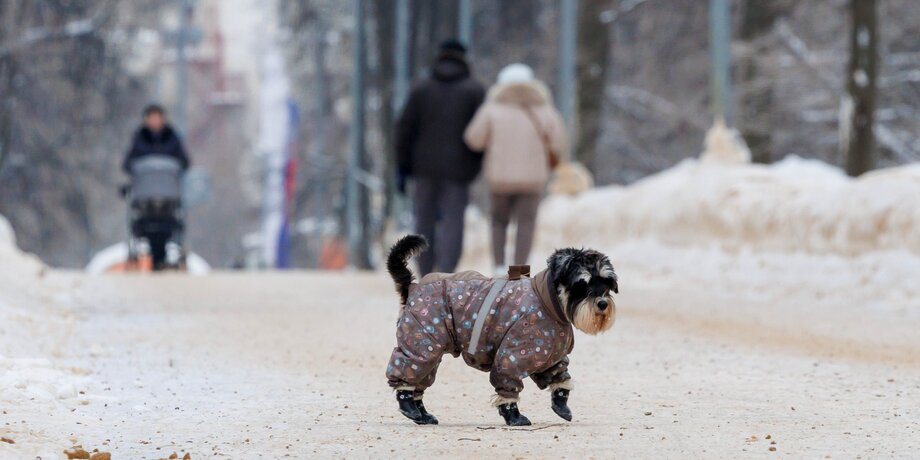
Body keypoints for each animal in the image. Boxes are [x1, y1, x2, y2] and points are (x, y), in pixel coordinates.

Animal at [384, 235, 616, 426]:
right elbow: (508, 386)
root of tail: (412, 287)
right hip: (422, 345)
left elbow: (560, 379)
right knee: (407, 372)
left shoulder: (549, 355)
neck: (549, 301)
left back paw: (421, 415)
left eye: (607, 282)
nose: (603, 303)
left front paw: (562, 406)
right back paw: (408, 407)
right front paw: (514, 416)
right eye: (582, 284)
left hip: (430, 350)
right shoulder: (513, 356)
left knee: (420, 381)